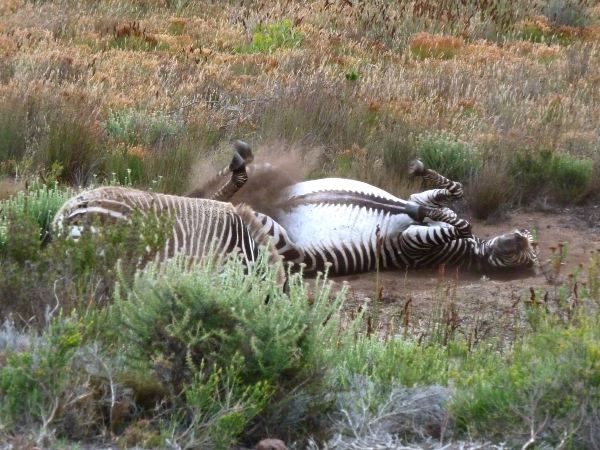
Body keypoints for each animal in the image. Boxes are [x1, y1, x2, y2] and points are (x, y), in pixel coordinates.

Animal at [198, 146, 540, 276]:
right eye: (530, 242)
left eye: (529, 256)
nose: (520, 238)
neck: (470, 251)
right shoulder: (423, 197)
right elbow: (455, 189)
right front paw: (419, 170)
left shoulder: (413, 245)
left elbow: (461, 223)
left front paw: (423, 211)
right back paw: (240, 158)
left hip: (270, 233)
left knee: (219, 205)